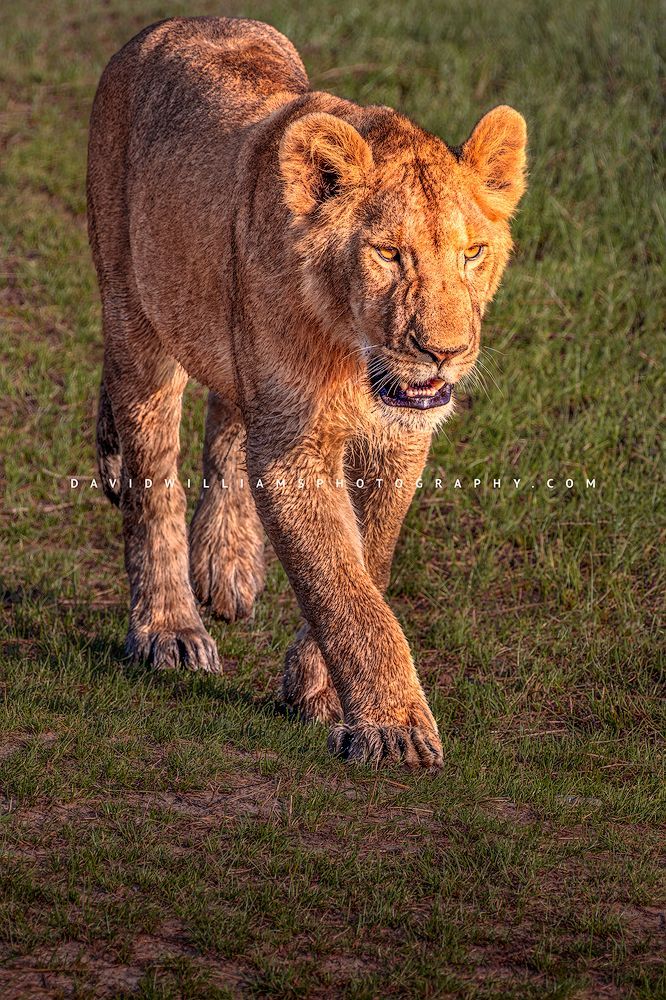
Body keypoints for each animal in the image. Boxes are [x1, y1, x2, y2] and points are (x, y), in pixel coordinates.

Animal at [87, 16, 527, 769]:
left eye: (472, 252)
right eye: (388, 254)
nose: (442, 353)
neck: (355, 354)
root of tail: (169, 26)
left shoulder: (400, 441)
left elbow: (367, 561)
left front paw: (316, 688)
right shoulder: (295, 445)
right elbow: (344, 587)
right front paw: (394, 727)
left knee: (227, 416)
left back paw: (225, 563)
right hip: (134, 312)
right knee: (153, 475)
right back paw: (169, 626)